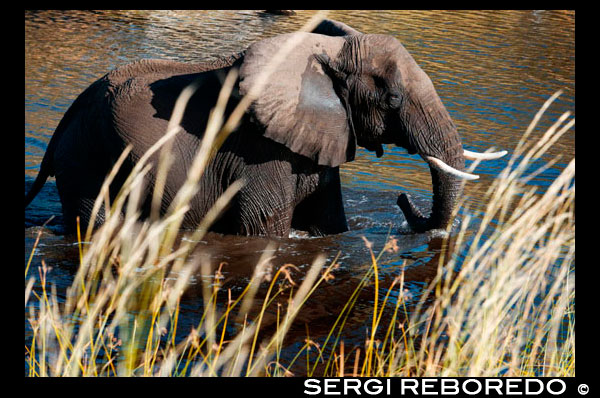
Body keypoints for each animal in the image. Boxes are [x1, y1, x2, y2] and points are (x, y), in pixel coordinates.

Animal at [24, 18, 506, 236]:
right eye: (393, 100)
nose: (404, 201)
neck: (324, 50)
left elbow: (330, 223)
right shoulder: (256, 150)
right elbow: (263, 226)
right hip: (89, 160)